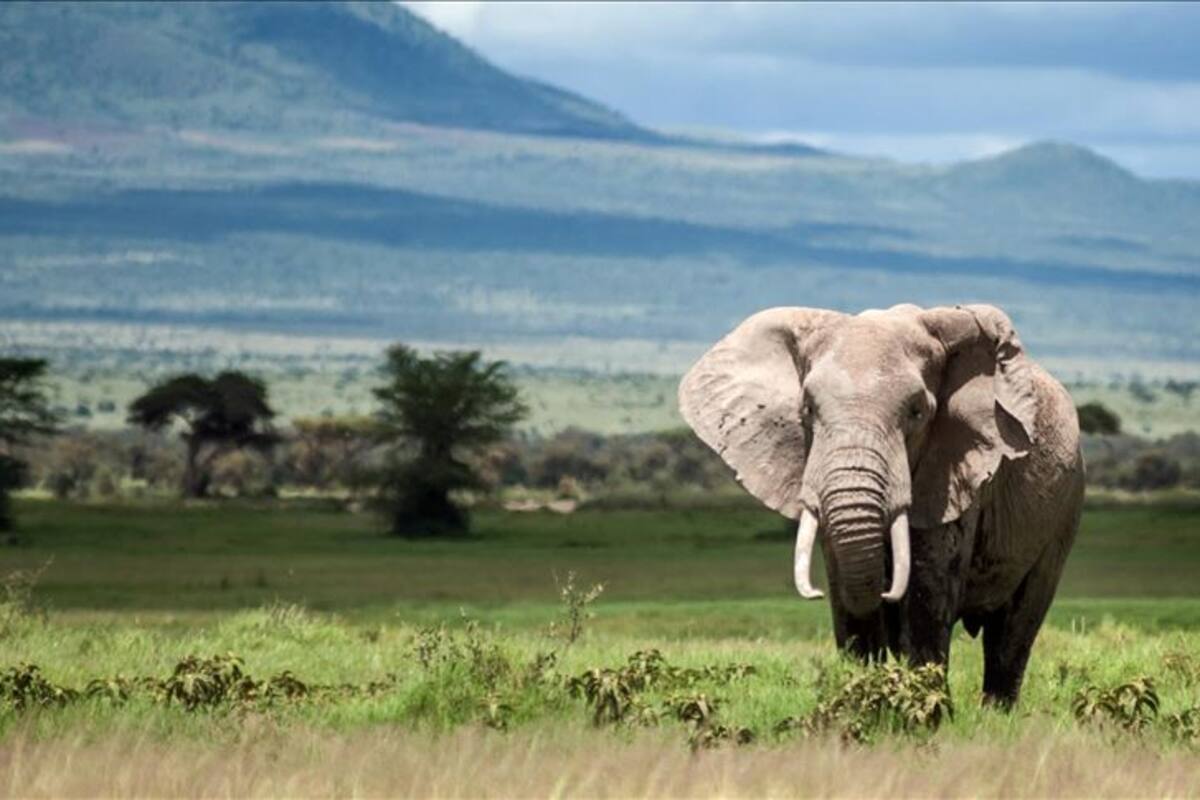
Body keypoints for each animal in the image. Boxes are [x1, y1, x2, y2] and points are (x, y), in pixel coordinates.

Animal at [678, 303, 1084, 706]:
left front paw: (927, 712)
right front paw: (864, 703)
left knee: (1014, 628)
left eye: (917, 412)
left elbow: (927, 592)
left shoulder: (954, 470)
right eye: (807, 409)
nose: (887, 592)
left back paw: (996, 713)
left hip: (1065, 507)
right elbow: (849, 598)